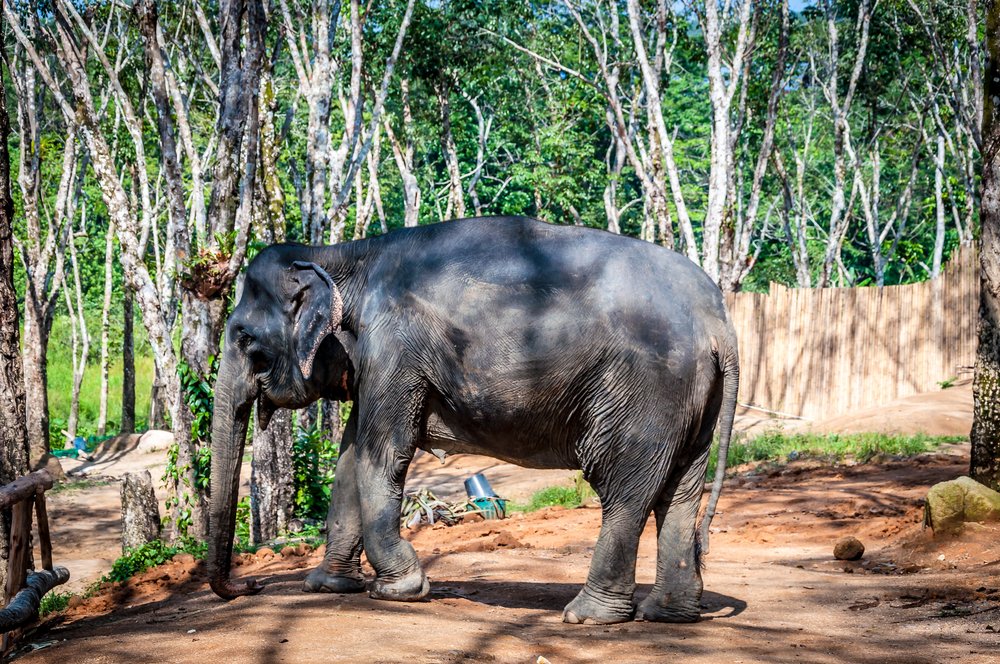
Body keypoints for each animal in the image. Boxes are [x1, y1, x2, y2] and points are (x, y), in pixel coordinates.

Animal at [208, 215, 739, 625]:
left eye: (246, 341)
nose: (251, 585)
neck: (343, 256)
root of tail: (720, 323)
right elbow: (349, 458)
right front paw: (326, 586)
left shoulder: (394, 347)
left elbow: (383, 455)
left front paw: (399, 590)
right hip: (693, 401)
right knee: (680, 491)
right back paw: (666, 614)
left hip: (647, 391)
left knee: (624, 489)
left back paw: (588, 616)